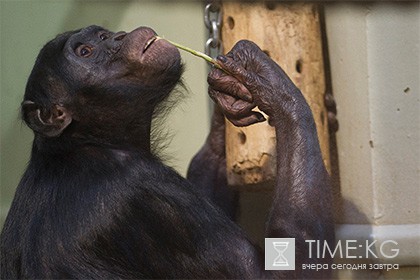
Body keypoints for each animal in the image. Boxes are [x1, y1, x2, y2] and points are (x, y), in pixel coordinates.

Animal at [0, 25, 334, 278]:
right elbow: (273, 271)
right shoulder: (150, 197)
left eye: (102, 34)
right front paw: (269, 82)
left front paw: (227, 93)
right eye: (85, 52)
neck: (90, 142)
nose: (118, 36)